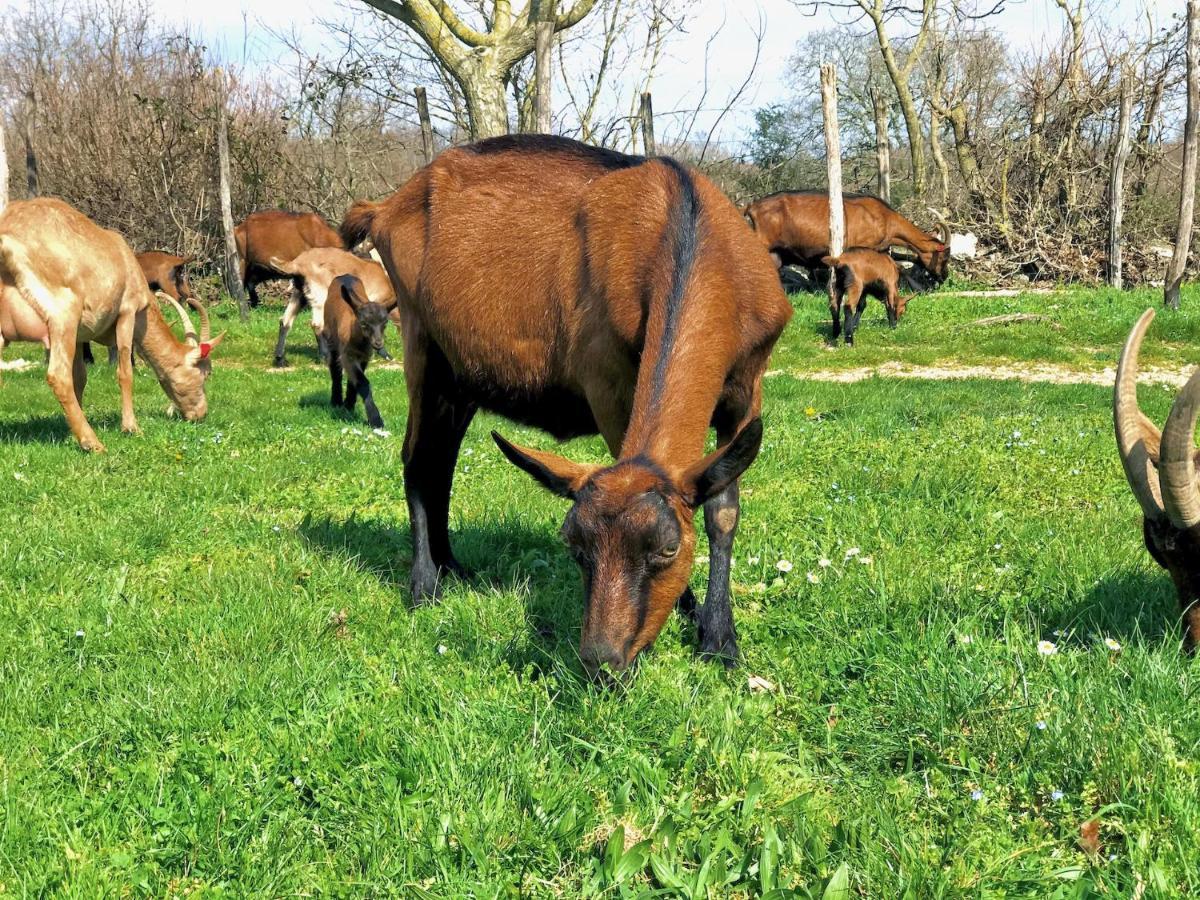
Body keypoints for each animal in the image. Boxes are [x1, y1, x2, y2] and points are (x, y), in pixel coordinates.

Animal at [0, 196, 223, 451]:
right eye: (206, 373)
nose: (200, 414)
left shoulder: (80, 336)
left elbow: (80, 377)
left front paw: (72, 430)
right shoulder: (127, 312)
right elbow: (124, 371)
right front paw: (131, 427)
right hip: (63, 316)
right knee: (58, 375)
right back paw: (93, 443)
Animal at [324, 274, 398, 429]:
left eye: (385, 323)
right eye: (363, 323)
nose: (378, 343)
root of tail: (344, 276)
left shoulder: (364, 357)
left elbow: (357, 380)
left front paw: (349, 405)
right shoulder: (347, 355)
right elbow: (363, 382)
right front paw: (376, 420)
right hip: (330, 337)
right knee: (334, 368)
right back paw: (336, 401)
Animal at [343, 135, 792, 676]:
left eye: (668, 548)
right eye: (575, 548)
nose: (602, 661)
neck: (690, 232)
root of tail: (386, 205)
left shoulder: (747, 385)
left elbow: (723, 511)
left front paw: (718, 636)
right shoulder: (608, 380)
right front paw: (695, 615)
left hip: (461, 376)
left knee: (442, 461)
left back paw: (454, 566)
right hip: (420, 341)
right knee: (418, 458)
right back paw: (425, 584)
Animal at [739, 192, 945, 283]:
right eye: (944, 256)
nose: (944, 277)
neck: (884, 217)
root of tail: (751, 206)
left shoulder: (881, 249)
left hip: (775, 254)